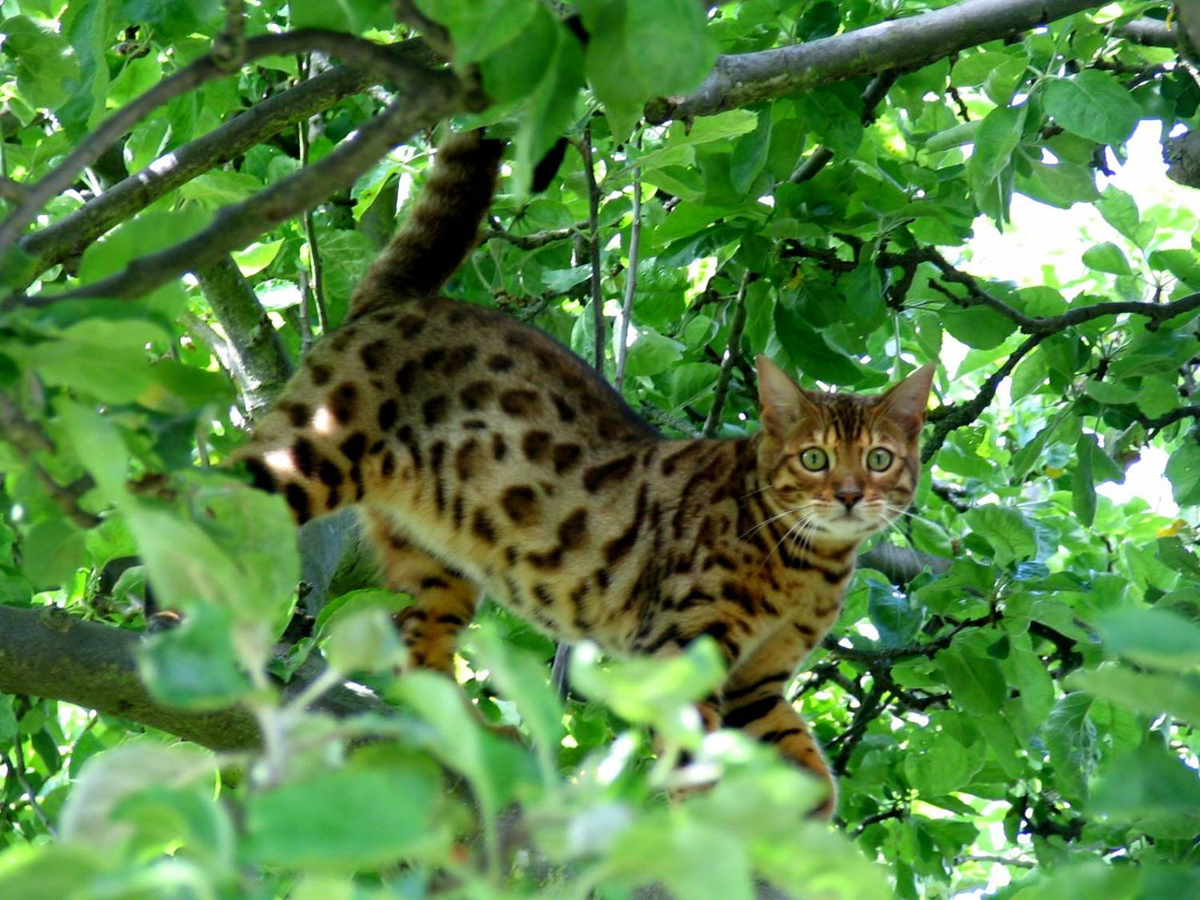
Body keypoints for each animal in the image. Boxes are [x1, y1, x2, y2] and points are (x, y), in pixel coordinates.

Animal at [238, 130, 936, 820]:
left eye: (878, 458)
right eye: (814, 458)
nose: (849, 496)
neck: (807, 563)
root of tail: (399, 301)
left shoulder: (756, 682)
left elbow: (808, 773)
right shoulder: (680, 647)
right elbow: (693, 754)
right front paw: (693, 817)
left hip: (434, 567)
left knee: (418, 663)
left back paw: (472, 739)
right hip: (306, 459)